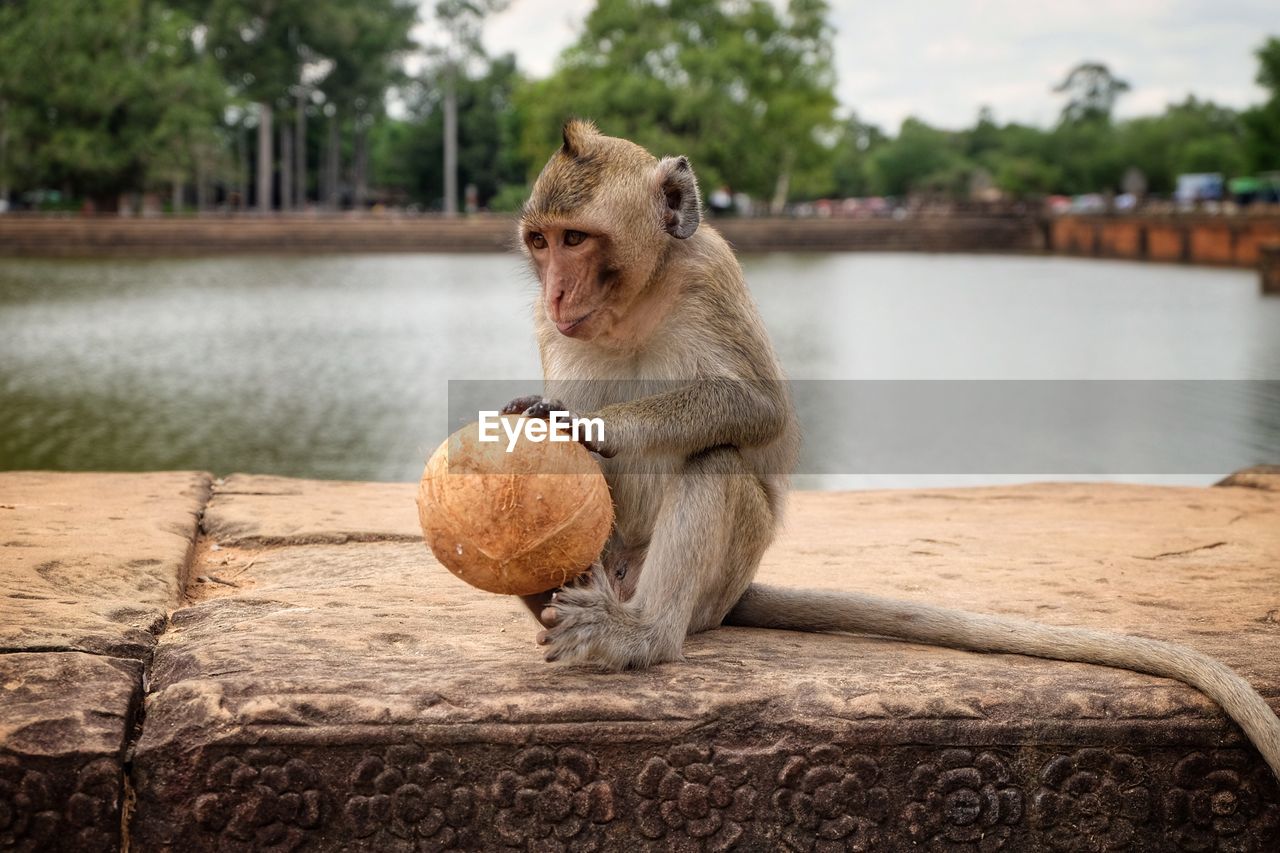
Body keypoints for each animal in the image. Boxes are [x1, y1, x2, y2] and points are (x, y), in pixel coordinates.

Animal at [499, 117, 1280, 778]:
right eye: (541, 242)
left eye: (576, 239)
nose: (559, 291)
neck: (635, 301)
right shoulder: (545, 322)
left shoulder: (708, 274)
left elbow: (756, 410)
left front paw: (587, 426)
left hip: (720, 581)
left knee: (715, 458)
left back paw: (642, 635)